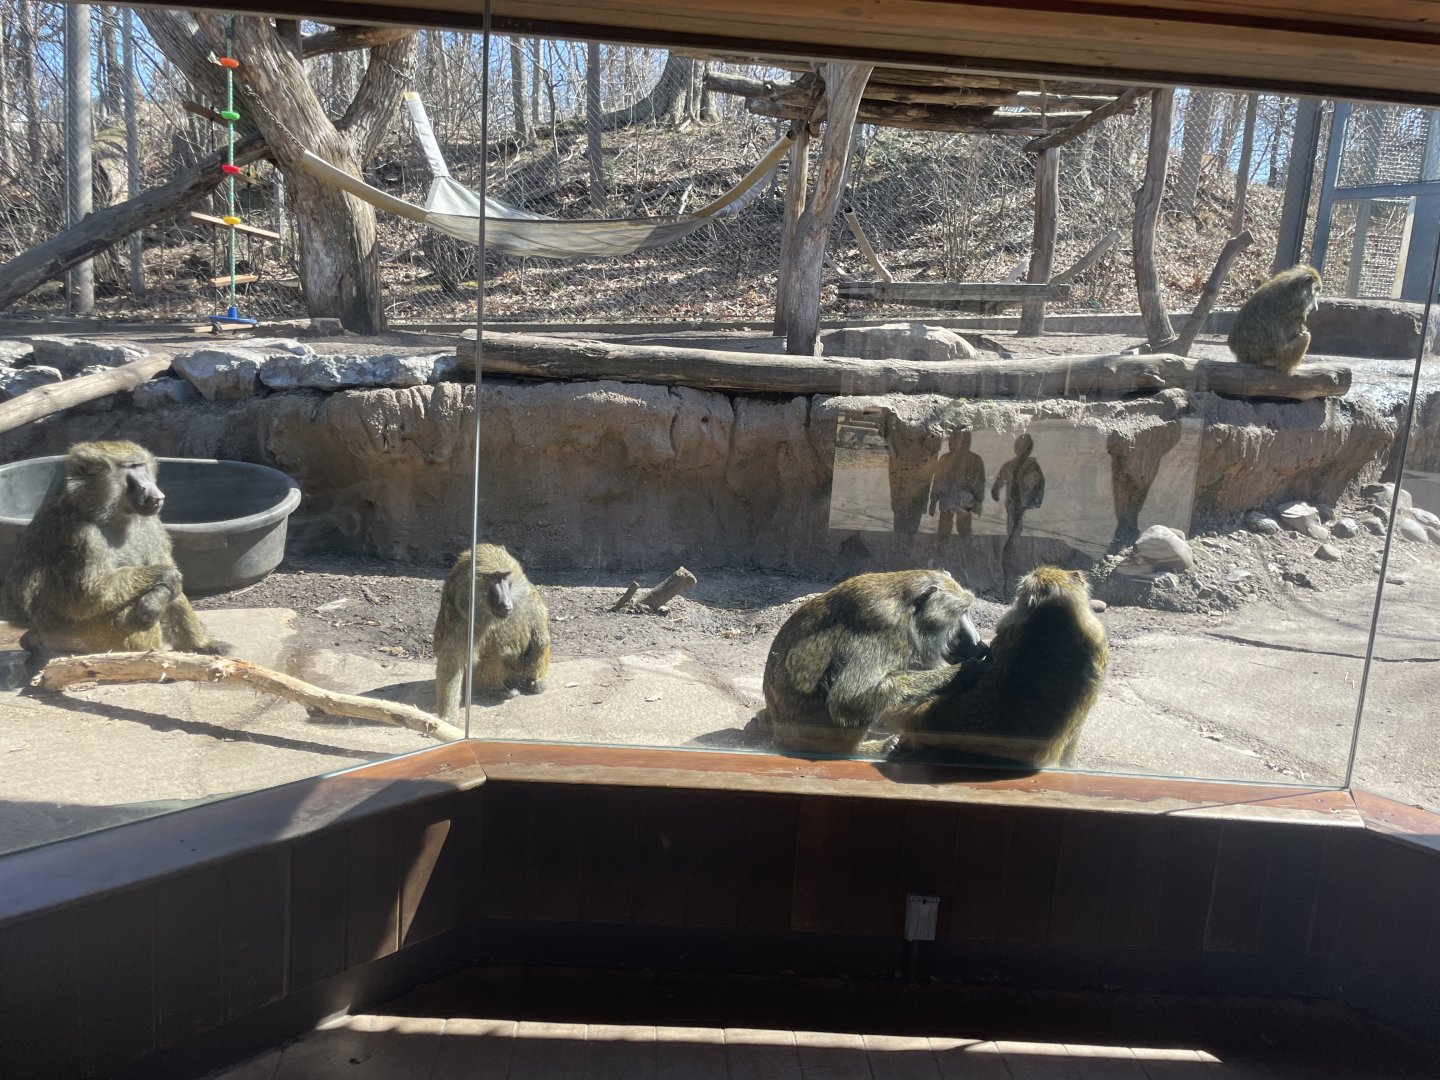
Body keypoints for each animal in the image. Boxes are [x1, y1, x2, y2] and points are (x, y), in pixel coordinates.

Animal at [0, 440, 222, 659]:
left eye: (141, 466)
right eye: (130, 468)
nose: (157, 495)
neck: (113, 514)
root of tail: (40, 633)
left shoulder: (152, 523)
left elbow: (166, 578)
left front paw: (157, 599)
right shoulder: (82, 535)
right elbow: (90, 594)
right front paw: (166, 576)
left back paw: (198, 647)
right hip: (82, 635)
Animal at [433, 543, 550, 722]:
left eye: (505, 577)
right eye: (493, 578)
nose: (507, 604)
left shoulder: (527, 591)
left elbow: (539, 618)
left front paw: (539, 644)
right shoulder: (459, 617)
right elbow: (451, 661)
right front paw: (448, 717)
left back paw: (535, 682)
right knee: (495, 654)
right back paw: (498, 690)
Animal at [760, 569, 989, 756]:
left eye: (967, 611)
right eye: (959, 613)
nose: (980, 645)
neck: (907, 609)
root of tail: (781, 735)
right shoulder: (888, 632)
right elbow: (846, 699)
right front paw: (959, 674)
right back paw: (856, 750)